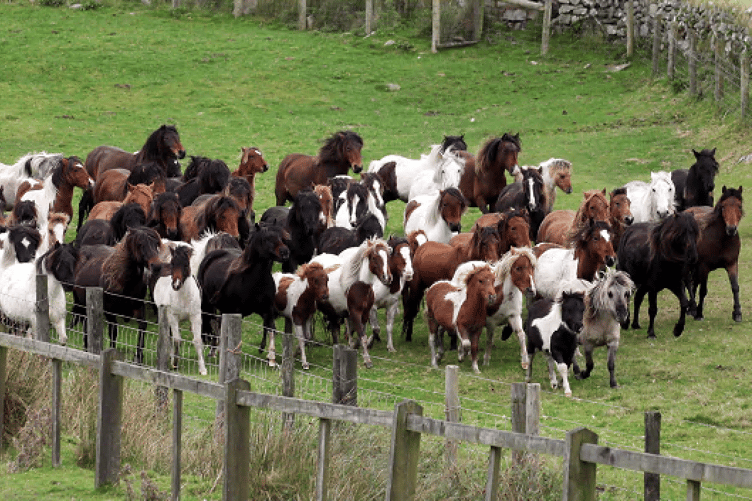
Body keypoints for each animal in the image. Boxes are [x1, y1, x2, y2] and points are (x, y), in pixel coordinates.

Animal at [72, 227, 163, 361]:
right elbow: (113, 330)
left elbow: (142, 326)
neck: (125, 281)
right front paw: (112, 353)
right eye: (140, 244)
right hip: (82, 304)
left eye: (156, 244)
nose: (156, 265)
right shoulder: (109, 310)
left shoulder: (138, 306)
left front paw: (139, 357)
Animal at [151, 244, 207, 376]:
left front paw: (202, 369)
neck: (184, 297)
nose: (176, 285)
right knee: (169, 337)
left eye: (186, 264)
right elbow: (177, 340)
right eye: (172, 264)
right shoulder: (173, 317)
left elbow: (197, 340)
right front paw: (175, 363)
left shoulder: (196, 316)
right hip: (165, 317)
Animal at [197, 224, 290, 361]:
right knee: (213, 322)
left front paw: (271, 357)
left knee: (218, 323)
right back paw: (213, 351)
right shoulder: (236, 311)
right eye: (266, 239)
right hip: (208, 304)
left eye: (281, 238)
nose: (285, 252)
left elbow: (271, 328)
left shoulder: (266, 309)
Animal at [311, 238, 392, 369]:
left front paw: (355, 345)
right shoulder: (355, 312)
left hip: (333, 311)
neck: (359, 285)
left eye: (388, 257)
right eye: (374, 258)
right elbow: (362, 335)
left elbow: (361, 335)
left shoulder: (364, 314)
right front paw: (367, 361)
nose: (387, 278)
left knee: (335, 330)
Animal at [684, 186, 744, 322]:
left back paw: (691, 309)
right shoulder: (704, 268)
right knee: (688, 282)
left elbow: (735, 287)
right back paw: (693, 308)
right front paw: (699, 313)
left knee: (693, 282)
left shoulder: (732, 264)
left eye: (739, 206)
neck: (722, 240)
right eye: (723, 207)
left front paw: (737, 313)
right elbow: (703, 291)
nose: (731, 229)